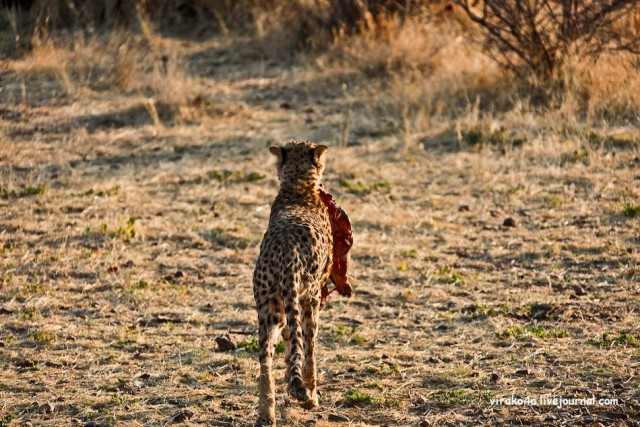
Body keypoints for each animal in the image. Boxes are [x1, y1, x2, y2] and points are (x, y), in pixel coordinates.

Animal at [252, 141, 336, 427]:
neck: (298, 188)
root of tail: (286, 249)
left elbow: (290, 346)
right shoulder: (313, 296)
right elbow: (307, 348)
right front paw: (308, 392)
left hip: (270, 308)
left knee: (264, 357)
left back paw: (266, 414)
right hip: (304, 298)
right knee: (308, 343)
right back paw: (309, 396)